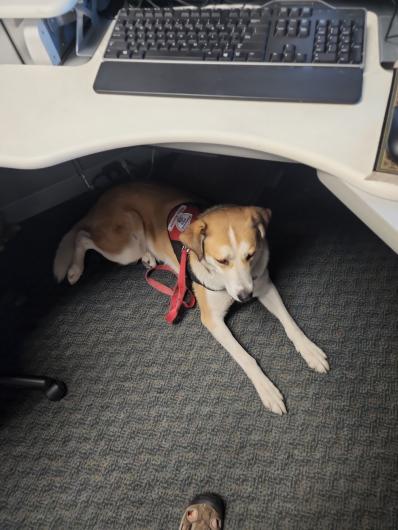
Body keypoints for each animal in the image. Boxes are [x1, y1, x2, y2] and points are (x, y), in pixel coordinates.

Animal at [54, 182, 328, 412]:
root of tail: (107, 193)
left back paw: (148, 257)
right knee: (82, 236)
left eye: (250, 255)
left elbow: (290, 323)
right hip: (124, 246)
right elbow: (245, 357)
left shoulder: (264, 286)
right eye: (222, 260)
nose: (245, 296)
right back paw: (75, 269)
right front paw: (267, 389)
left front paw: (310, 351)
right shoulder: (213, 320)